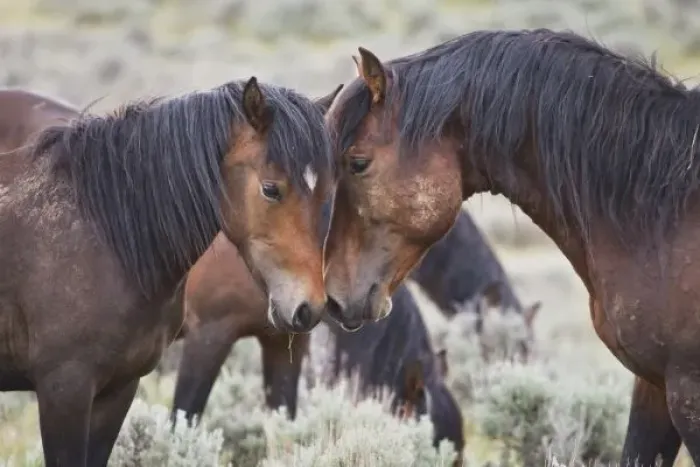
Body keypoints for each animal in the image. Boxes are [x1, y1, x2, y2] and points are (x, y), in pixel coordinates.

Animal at [0, 78, 336, 467]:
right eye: (270, 189)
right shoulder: (65, 389)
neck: (102, 237)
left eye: (327, 193)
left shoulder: (119, 388)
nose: (309, 306)